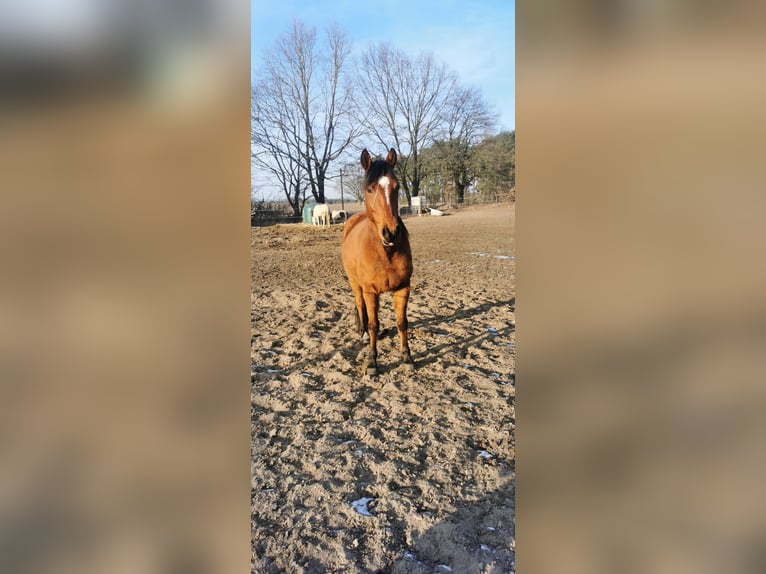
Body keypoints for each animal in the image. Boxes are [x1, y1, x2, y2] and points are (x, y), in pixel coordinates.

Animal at [341, 148, 414, 376]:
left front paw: (407, 357)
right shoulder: (370, 291)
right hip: (356, 284)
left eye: (396, 187)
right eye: (370, 189)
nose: (391, 232)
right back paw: (363, 333)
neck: (385, 252)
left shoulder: (403, 288)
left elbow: (402, 322)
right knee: (360, 305)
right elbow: (373, 325)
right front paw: (372, 362)